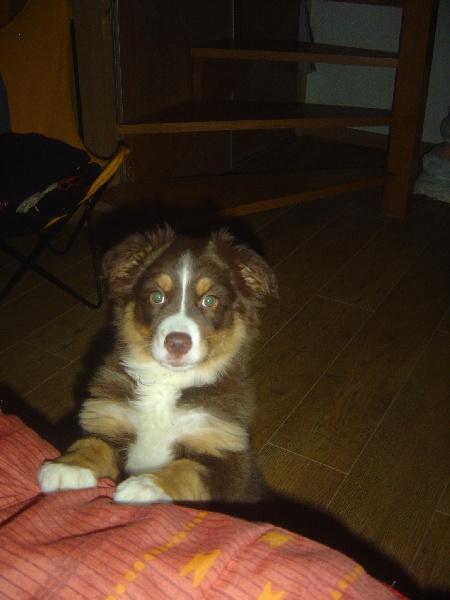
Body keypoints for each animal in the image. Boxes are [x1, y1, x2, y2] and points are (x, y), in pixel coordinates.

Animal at [38, 225, 277, 504]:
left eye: (210, 301)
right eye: (156, 296)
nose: (177, 343)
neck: (166, 383)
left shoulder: (230, 461)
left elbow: (188, 470)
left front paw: (146, 486)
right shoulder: (108, 418)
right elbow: (93, 443)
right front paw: (69, 466)